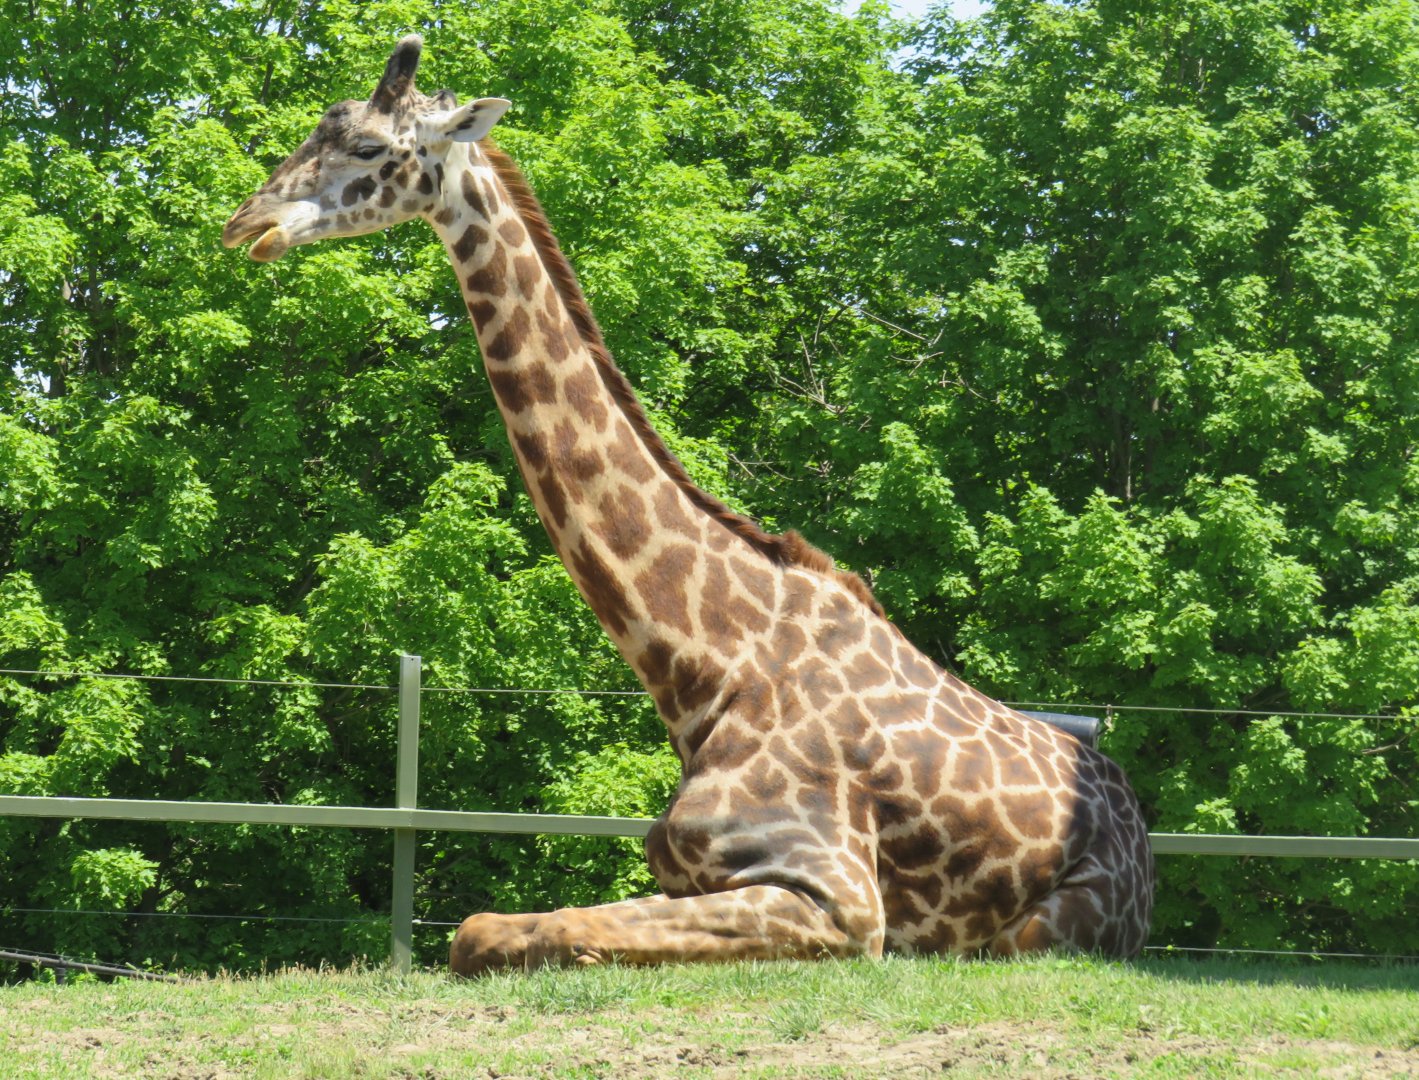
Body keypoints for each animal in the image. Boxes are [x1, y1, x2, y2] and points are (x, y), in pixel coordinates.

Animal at [223, 36, 1154, 974]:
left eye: (370, 146)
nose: (244, 223)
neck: (706, 667)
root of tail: (1131, 810)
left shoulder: (839, 900)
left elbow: (538, 929)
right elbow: (485, 927)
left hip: (1043, 931)